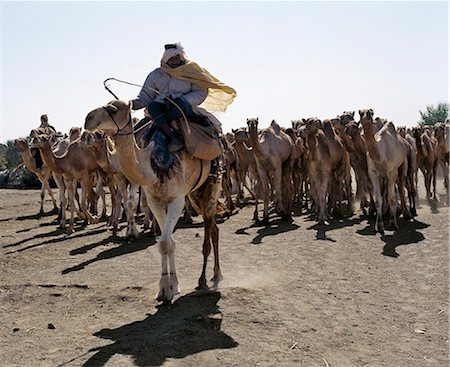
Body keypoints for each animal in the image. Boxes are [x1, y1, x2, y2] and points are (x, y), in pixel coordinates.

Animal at [84, 99, 223, 304]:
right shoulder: (155, 200)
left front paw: (166, 289)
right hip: (195, 193)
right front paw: (171, 286)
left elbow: (165, 242)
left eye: (113, 109)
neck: (153, 165)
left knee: (211, 227)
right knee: (213, 227)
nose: (88, 119)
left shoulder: (176, 200)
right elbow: (168, 242)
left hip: (212, 185)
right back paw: (208, 277)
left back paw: (211, 277)